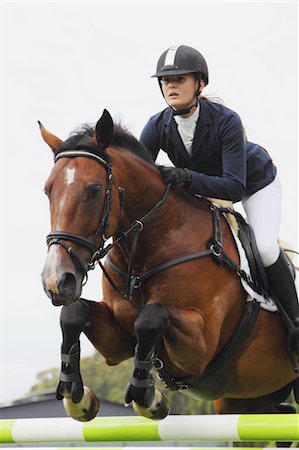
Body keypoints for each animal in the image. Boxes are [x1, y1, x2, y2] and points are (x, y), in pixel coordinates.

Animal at [40, 109, 299, 426]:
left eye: (95, 190)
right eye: (48, 190)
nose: (56, 280)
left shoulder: (201, 347)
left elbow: (151, 317)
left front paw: (149, 398)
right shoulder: (117, 343)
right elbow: (74, 312)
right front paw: (77, 395)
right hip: (244, 399)